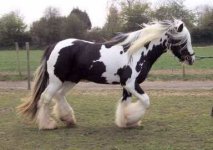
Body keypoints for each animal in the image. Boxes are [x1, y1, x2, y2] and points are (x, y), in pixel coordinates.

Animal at [17, 19, 195, 130]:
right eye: (183, 40)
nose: (192, 59)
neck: (136, 53)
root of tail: (54, 46)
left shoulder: (127, 86)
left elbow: (125, 103)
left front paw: (126, 122)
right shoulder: (131, 84)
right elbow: (145, 101)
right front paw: (132, 120)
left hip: (70, 80)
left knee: (59, 96)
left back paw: (68, 120)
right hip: (56, 80)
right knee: (45, 98)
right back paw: (47, 125)